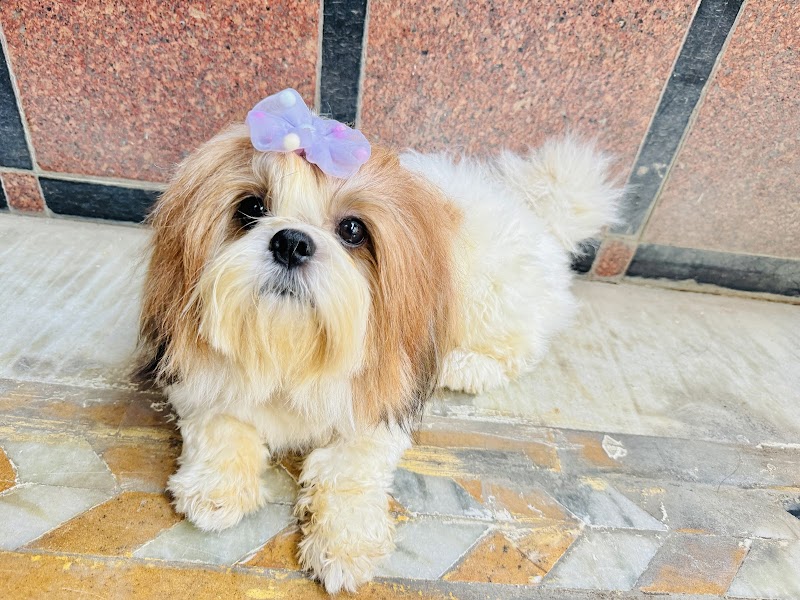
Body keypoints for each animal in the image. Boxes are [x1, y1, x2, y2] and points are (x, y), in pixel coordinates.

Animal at [136, 89, 622, 593]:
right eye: (251, 208)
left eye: (352, 229)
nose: (291, 242)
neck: (291, 353)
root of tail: (535, 212)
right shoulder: (197, 380)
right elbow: (221, 425)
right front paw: (216, 489)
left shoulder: (379, 406)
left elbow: (349, 470)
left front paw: (345, 543)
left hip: (488, 297)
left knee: (518, 346)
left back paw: (466, 366)